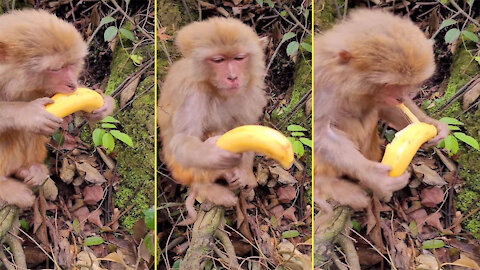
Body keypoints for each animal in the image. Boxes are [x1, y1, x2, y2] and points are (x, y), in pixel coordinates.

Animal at [0, 8, 114, 207]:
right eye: (56, 69)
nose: (72, 84)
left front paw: (103, 105)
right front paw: (30, 113)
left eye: (71, 65)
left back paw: (27, 168)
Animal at [158, 17, 268, 224]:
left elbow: (247, 127)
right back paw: (207, 187)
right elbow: (181, 141)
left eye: (239, 58)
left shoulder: (250, 91)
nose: (232, 77)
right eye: (218, 60)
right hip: (180, 170)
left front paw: (245, 173)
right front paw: (215, 154)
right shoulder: (191, 93)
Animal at [314, 8, 448, 210]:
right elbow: (322, 133)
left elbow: (386, 107)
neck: (348, 83)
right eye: (389, 84)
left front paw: (432, 125)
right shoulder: (323, 85)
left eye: (404, 85)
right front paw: (375, 177)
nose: (400, 96)